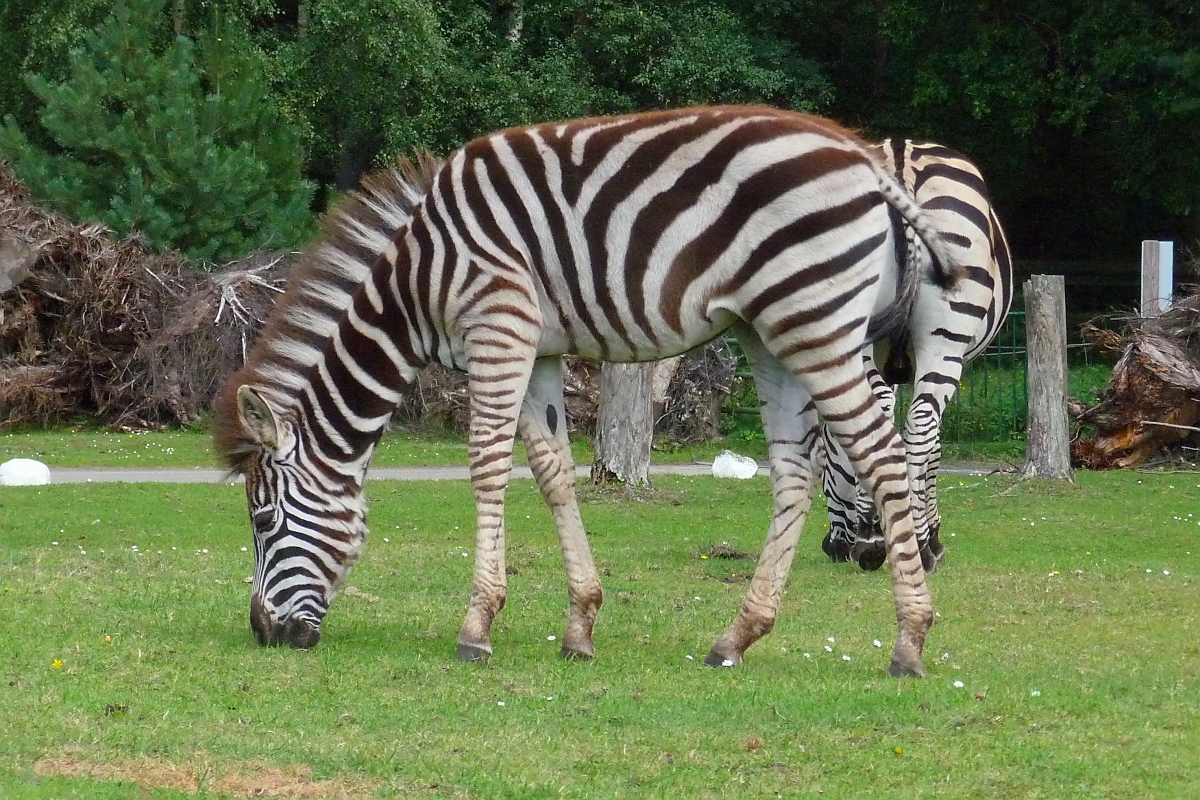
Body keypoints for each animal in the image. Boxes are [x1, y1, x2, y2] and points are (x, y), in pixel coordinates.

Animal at [213, 106, 964, 681]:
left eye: (262, 520)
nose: (262, 634)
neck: (417, 282)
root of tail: (867, 159)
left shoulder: (498, 325)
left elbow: (487, 465)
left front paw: (477, 626)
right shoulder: (537, 348)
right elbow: (552, 472)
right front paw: (580, 625)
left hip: (815, 322)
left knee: (883, 456)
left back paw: (910, 640)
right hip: (770, 332)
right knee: (793, 474)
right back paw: (737, 637)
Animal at [816, 140, 1012, 573]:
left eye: (823, 467)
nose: (830, 549)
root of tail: (900, 160)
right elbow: (932, 448)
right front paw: (930, 533)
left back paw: (874, 537)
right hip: (945, 343)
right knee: (921, 427)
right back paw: (916, 546)